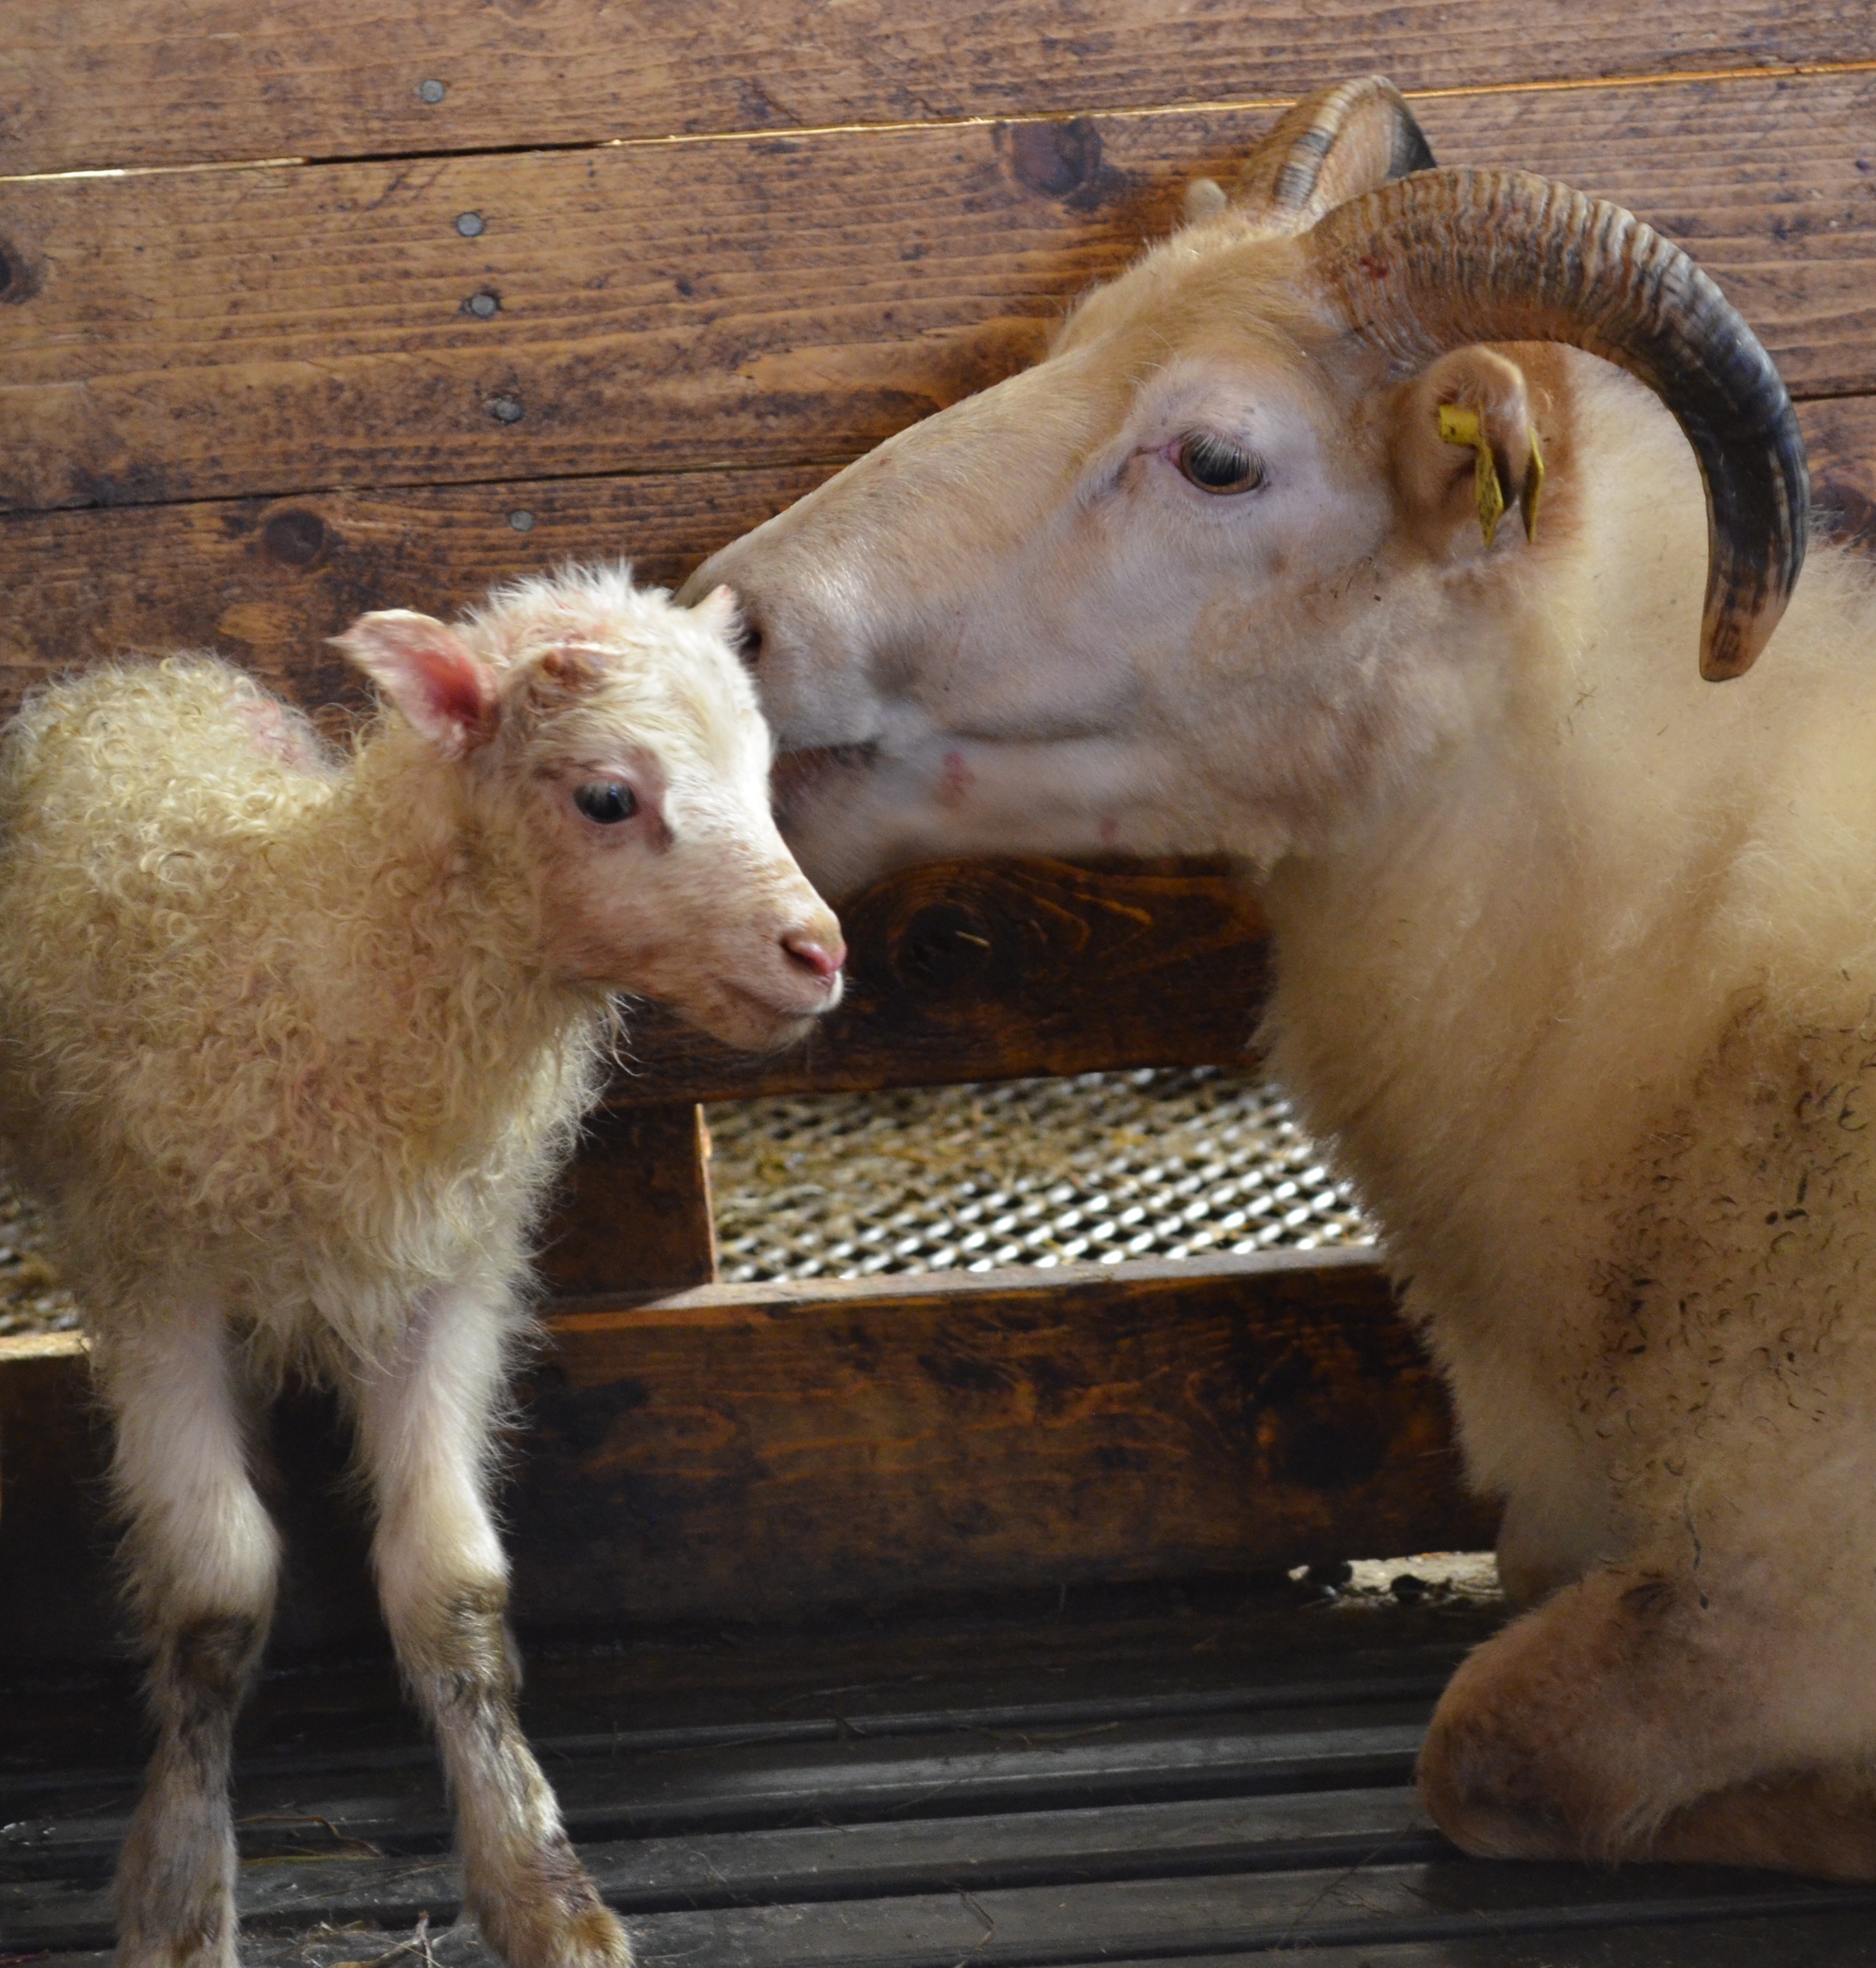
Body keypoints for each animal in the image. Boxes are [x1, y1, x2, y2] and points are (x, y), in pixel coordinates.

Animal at [0, 559, 842, 1968]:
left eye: (761, 767)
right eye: (605, 796)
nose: (817, 951)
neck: (324, 955)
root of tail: (139, 671)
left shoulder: (445, 1277)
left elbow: (451, 1586)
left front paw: (543, 1889)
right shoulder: (154, 1270)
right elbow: (215, 1594)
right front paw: (179, 1892)